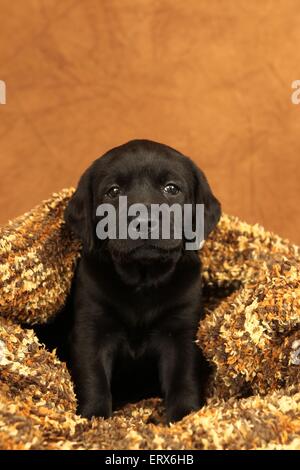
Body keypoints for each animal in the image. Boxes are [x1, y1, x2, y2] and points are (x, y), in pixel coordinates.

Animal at [63, 140, 220, 422]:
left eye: (171, 189)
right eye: (113, 192)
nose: (144, 221)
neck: (142, 282)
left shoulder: (181, 331)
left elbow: (183, 378)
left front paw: (183, 416)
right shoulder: (91, 329)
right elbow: (93, 377)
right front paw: (94, 417)